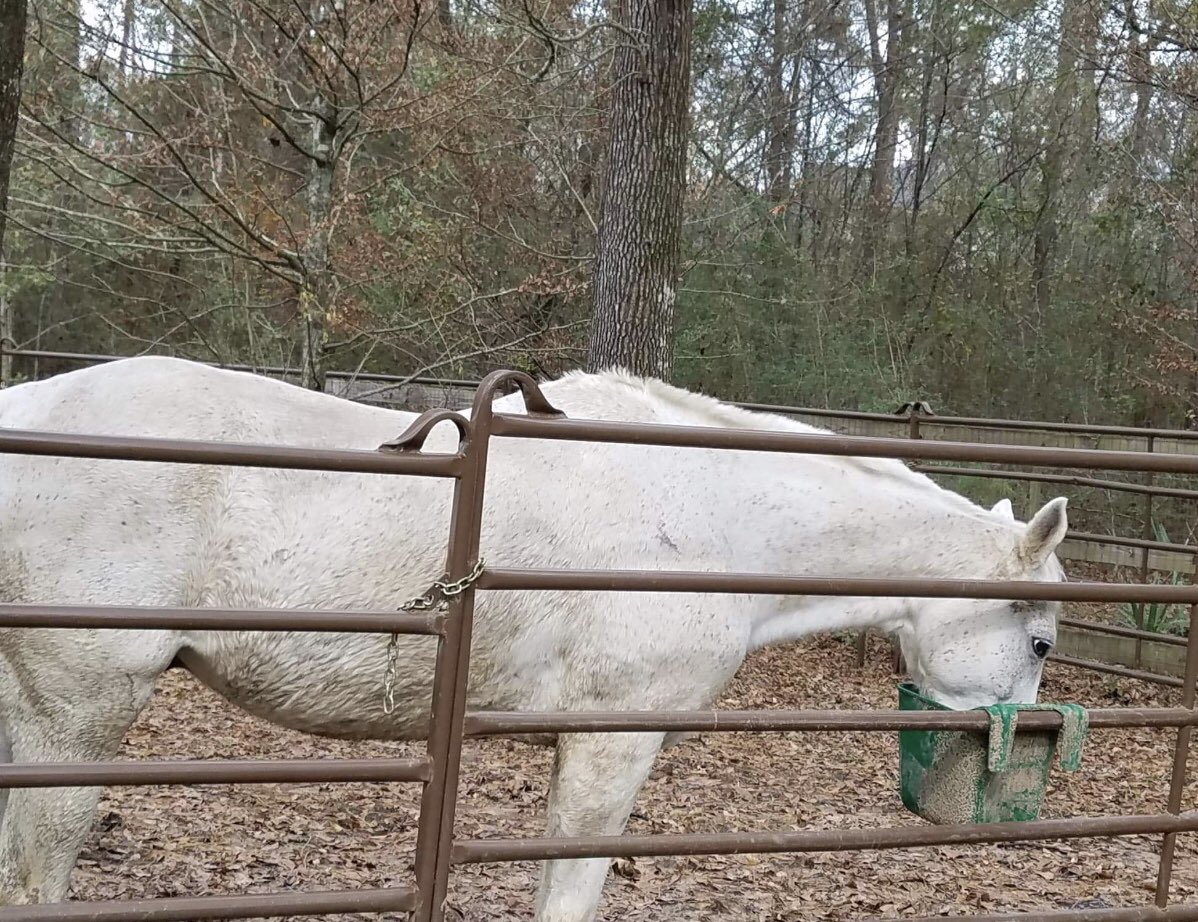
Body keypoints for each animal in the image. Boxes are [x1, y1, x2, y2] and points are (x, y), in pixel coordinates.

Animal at [0, 356, 1068, 919]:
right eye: (1043, 644)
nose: (1014, 767)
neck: (708, 510)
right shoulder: (612, 740)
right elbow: (573, 880)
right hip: (80, 711)